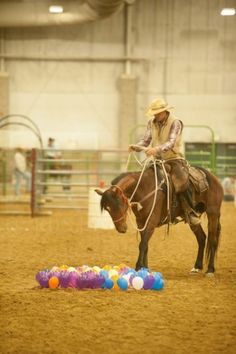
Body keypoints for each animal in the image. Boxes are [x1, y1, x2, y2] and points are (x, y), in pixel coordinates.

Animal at [95, 164, 223, 276]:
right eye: (107, 209)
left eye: (119, 205)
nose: (121, 229)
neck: (144, 188)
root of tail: (213, 178)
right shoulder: (141, 222)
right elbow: (145, 245)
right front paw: (145, 268)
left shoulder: (151, 222)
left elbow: (142, 244)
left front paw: (138, 267)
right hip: (193, 220)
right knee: (201, 238)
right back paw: (197, 267)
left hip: (213, 214)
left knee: (212, 240)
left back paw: (210, 270)